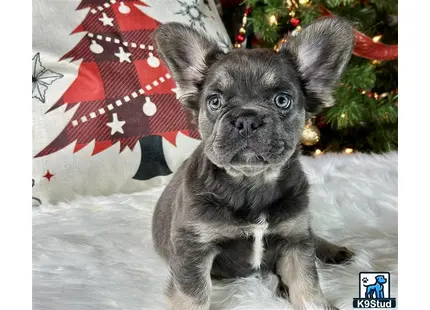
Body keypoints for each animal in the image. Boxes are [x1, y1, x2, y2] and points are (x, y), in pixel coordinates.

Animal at [153, 17, 354, 310]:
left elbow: (307, 285)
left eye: (282, 100)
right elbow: (193, 295)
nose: (247, 119)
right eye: (215, 101)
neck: (252, 183)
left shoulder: (295, 240)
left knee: (313, 237)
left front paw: (315, 302)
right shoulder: (193, 247)